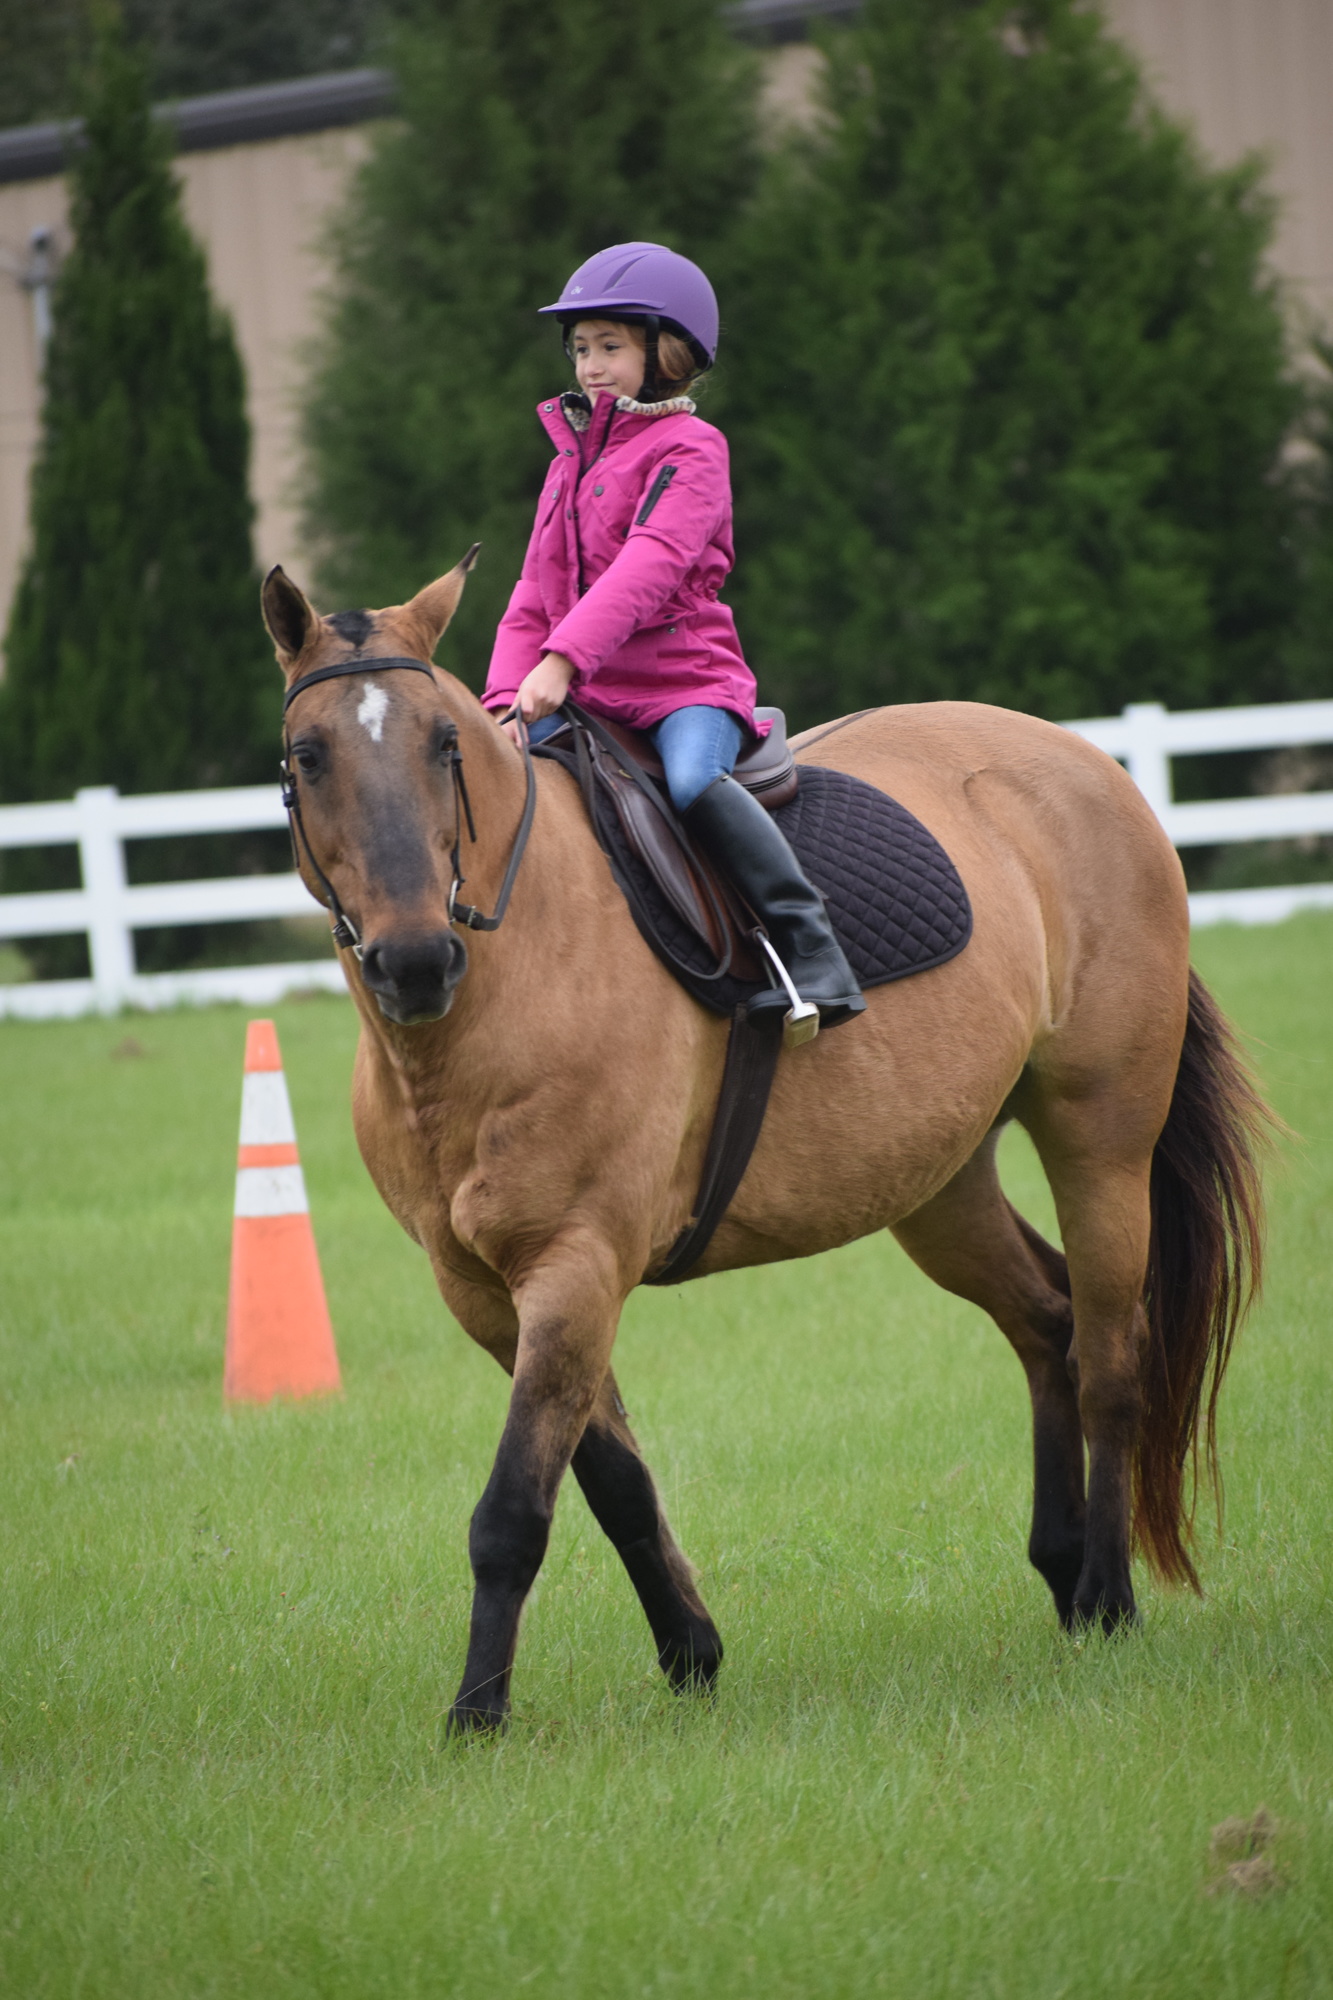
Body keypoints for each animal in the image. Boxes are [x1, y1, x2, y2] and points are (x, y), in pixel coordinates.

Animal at [262, 552, 1264, 1736]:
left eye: (443, 744)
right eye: (309, 755)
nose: (414, 960)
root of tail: (1089, 767)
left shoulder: (575, 1265)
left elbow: (513, 1509)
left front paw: (477, 1716)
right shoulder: (486, 1292)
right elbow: (612, 1481)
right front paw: (689, 1651)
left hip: (1098, 1140)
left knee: (1109, 1353)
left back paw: (1106, 1596)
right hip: (939, 1185)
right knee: (1045, 1320)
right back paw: (1064, 1573)